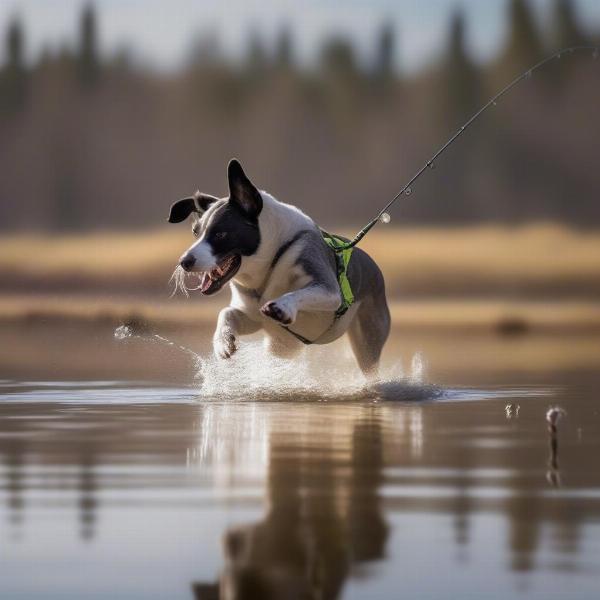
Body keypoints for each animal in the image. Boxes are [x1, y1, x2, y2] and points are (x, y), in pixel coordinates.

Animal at [168, 159, 390, 376]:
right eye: (196, 232)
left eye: (220, 234)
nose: (184, 262)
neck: (272, 262)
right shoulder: (252, 316)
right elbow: (227, 312)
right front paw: (223, 342)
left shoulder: (329, 290)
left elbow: (300, 293)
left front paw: (282, 307)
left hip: (367, 341)